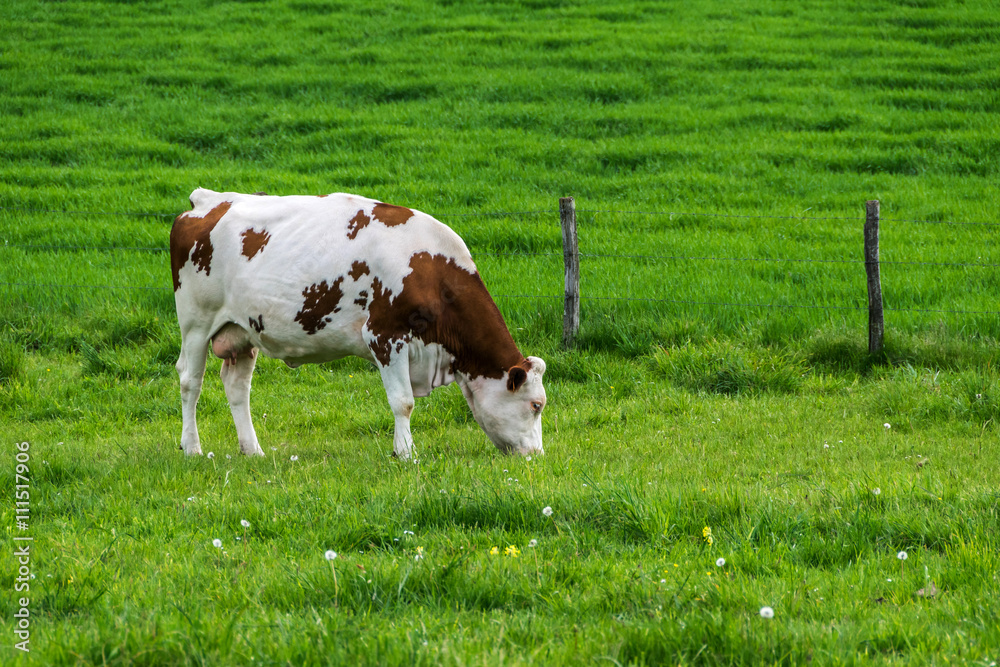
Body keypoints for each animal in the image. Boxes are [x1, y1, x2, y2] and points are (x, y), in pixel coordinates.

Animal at [169, 188, 547, 461]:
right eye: (536, 405)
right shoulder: (385, 336)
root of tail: (208, 200)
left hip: (243, 331)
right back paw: (192, 447)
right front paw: (406, 454)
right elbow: (403, 401)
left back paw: (253, 450)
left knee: (237, 387)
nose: (537, 455)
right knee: (190, 381)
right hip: (196, 323)